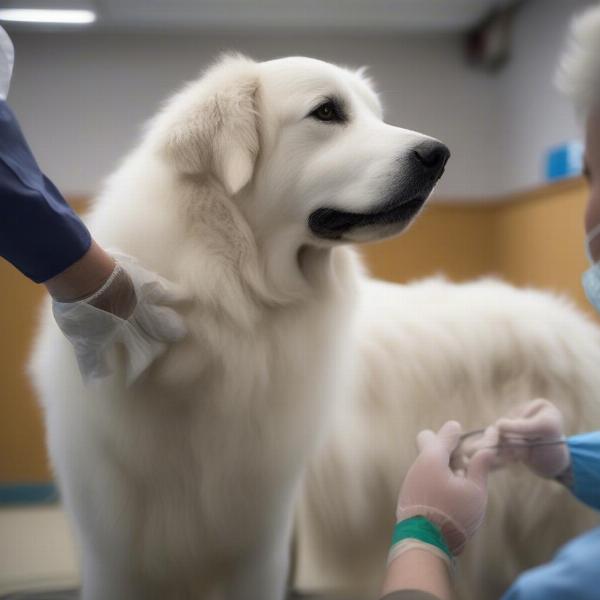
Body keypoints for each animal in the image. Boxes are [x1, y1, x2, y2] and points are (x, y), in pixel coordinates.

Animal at [31, 52, 600, 600]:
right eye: (327, 112)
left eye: (377, 115)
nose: (438, 155)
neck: (237, 303)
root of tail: (573, 330)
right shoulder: (117, 547)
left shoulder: (257, 539)